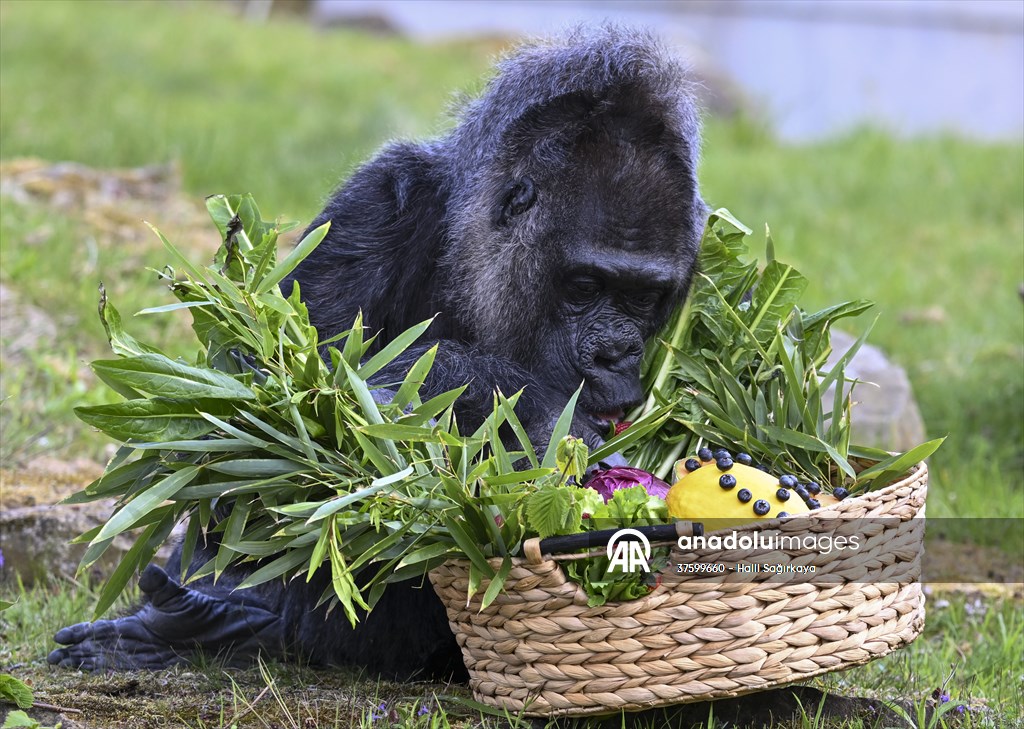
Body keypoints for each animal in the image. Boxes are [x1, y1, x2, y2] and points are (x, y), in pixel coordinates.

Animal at [49, 24, 706, 679]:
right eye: (585, 286)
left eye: (644, 297)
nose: (615, 355)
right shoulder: (379, 199)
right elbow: (276, 393)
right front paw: (541, 419)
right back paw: (213, 625)